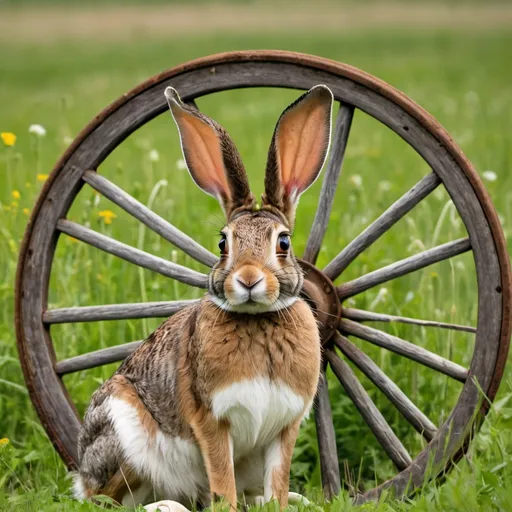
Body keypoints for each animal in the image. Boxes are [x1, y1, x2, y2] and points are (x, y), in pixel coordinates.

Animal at [74, 82, 334, 510]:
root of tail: (81, 470)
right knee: (103, 499)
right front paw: (227, 505)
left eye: (283, 242)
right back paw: (166, 506)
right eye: (223, 243)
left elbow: (276, 479)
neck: (257, 319)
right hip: (125, 436)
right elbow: (221, 477)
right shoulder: (211, 419)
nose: (248, 279)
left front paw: (280, 501)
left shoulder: (285, 426)